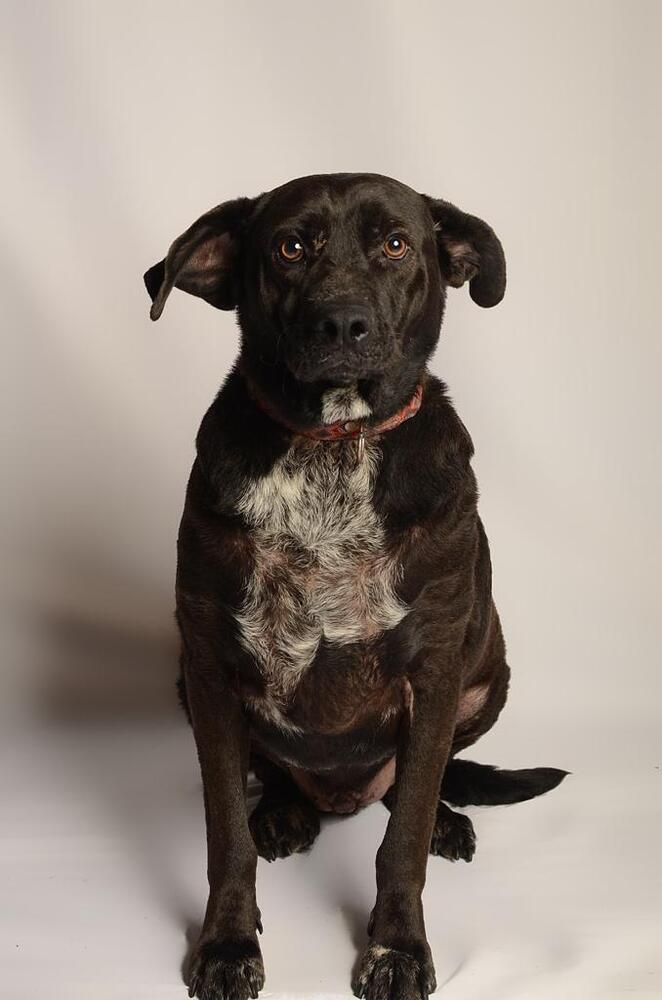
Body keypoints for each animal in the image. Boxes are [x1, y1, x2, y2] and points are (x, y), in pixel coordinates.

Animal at [147, 174, 572, 1000]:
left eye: (397, 244)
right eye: (290, 246)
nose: (342, 323)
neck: (333, 447)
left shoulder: (436, 669)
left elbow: (400, 837)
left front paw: (397, 947)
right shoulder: (209, 668)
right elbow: (225, 835)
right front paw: (227, 945)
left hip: (490, 677)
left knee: (422, 782)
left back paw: (445, 818)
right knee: (273, 779)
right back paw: (284, 811)